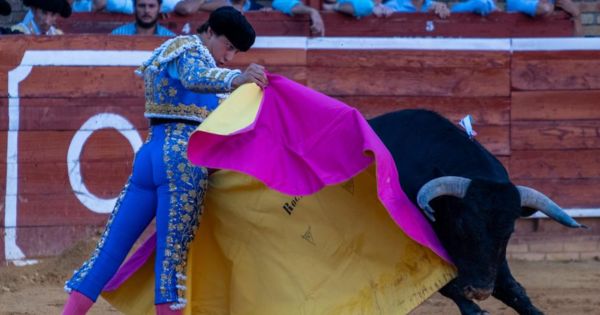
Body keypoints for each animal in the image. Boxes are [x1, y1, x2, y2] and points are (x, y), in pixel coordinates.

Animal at [368, 109, 584, 315]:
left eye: (509, 233)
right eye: (461, 227)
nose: (480, 291)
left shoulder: (496, 259)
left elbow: (512, 288)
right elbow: (446, 283)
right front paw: (476, 310)